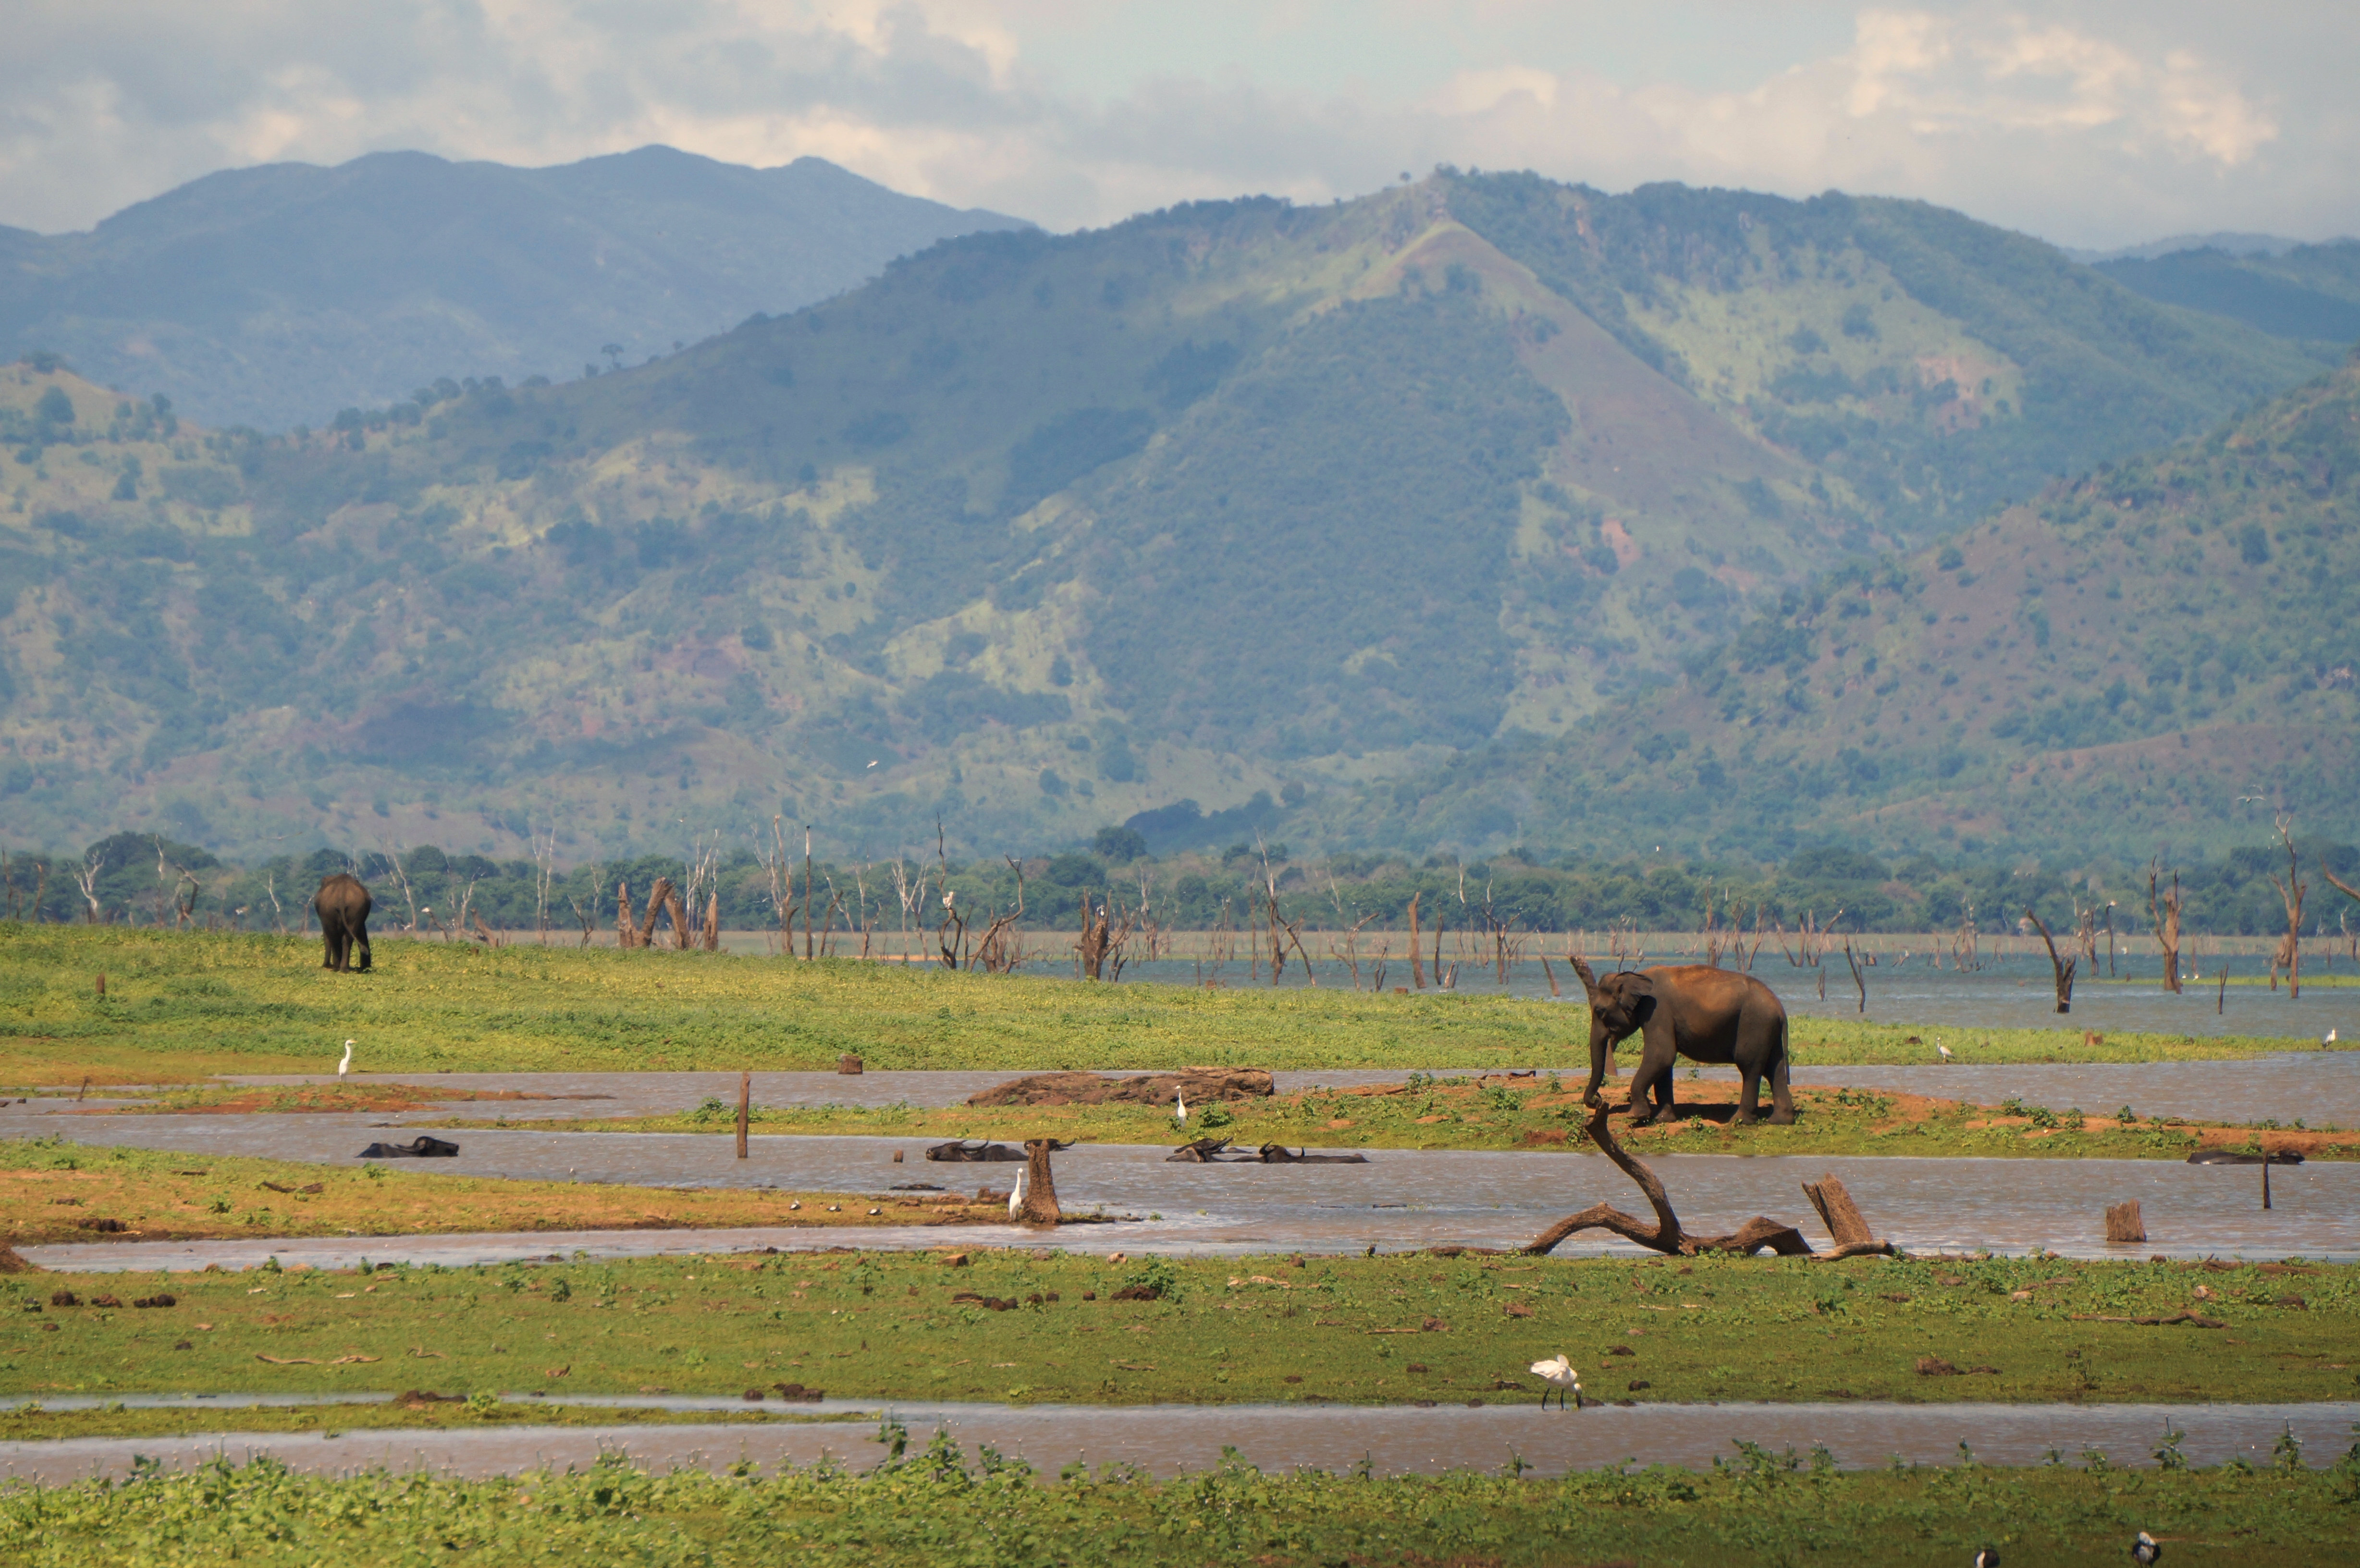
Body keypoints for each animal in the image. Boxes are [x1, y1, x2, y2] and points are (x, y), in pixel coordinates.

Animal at [314, 869, 373, 968]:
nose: (325, 965)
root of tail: (341, 895)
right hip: (354, 908)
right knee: (347, 937)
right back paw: (344, 968)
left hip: (331, 911)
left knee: (334, 936)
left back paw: (337, 967)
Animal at [1576, 954, 1794, 1128]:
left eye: (1600, 1011)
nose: (1597, 1100)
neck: (1636, 976)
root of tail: (1780, 1008)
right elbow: (1664, 1064)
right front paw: (1662, 1119)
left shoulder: (1657, 1011)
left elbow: (1661, 1056)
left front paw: (1636, 1116)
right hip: (1768, 1029)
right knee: (1774, 1068)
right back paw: (1780, 1121)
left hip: (1754, 1024)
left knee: (1750, 1068)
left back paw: (1739, 1121)